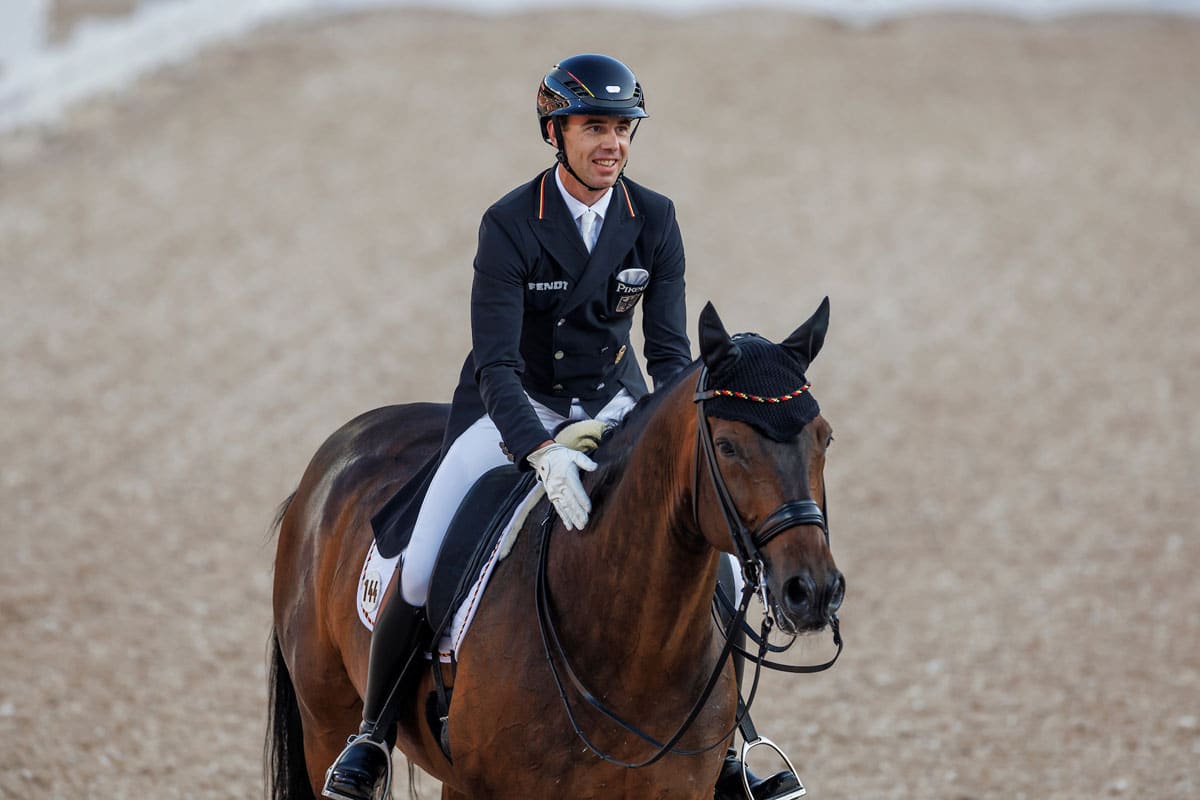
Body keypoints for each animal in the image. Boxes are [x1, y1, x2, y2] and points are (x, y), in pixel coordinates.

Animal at [265, 299, 844, 800]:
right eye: (726, 446)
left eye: (825, 438)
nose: (811, 591)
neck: (629, 655)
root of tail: (345, 442)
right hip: (324, 722)